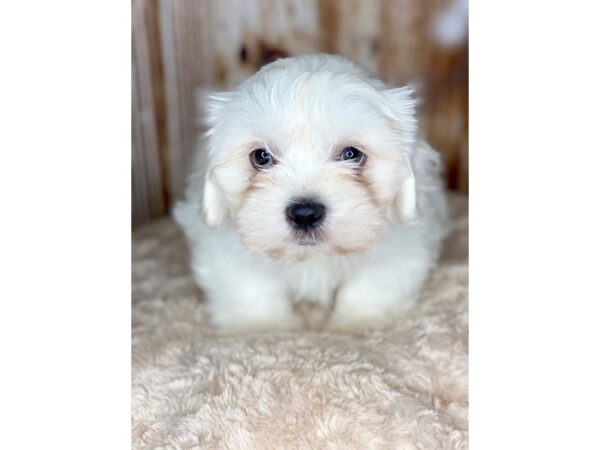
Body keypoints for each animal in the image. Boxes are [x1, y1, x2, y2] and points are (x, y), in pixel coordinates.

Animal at [173, 55, 450, 330]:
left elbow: (370, 286)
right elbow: (251, 288)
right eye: (261, 157)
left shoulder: (400, 248)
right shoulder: (224, 250)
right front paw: (264, 327)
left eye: (351, 154)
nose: (305, 213)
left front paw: (356, 324)